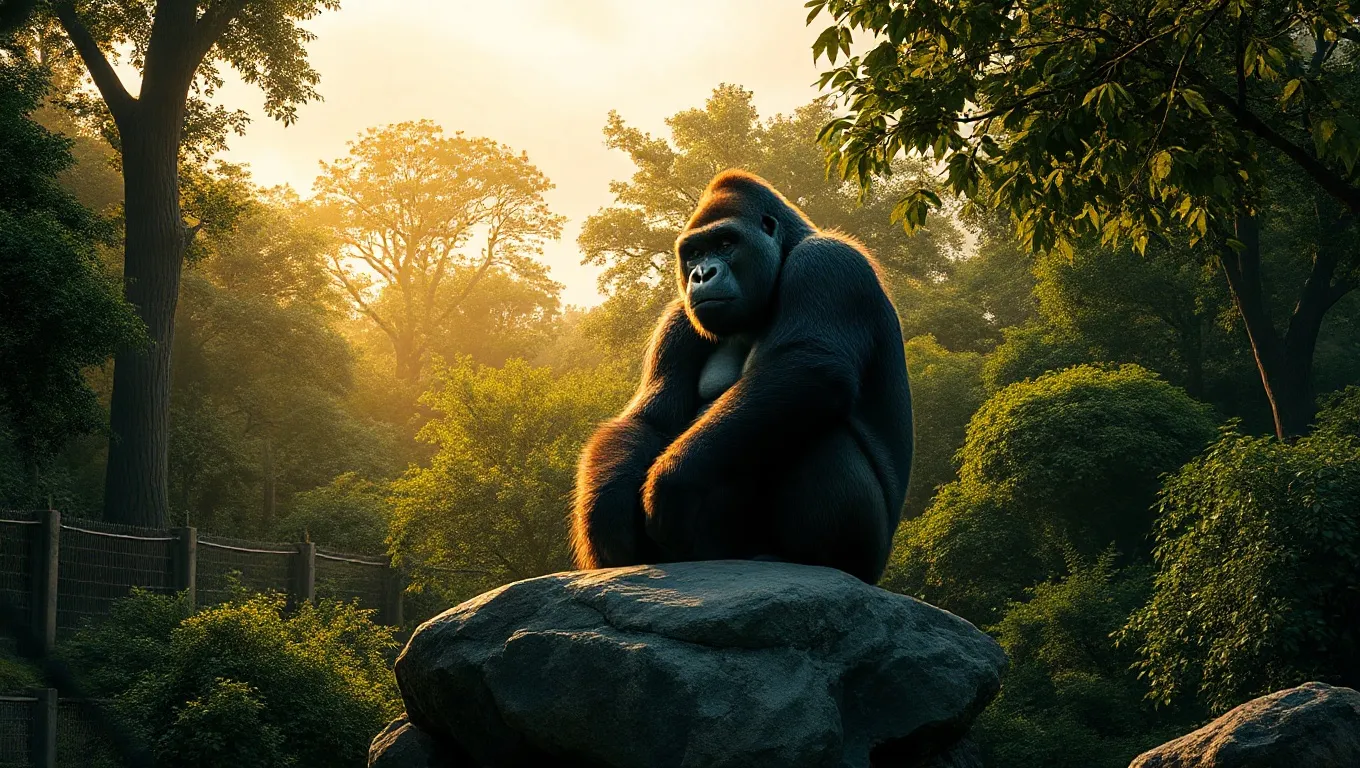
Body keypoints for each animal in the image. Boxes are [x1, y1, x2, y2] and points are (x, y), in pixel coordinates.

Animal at [570, 169, 913, 583]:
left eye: (725, 243)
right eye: (694, 253)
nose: (702, 274)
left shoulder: (829, 262)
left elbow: (810, 367)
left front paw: (671, 482)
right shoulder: (677, 318)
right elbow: (648, 419)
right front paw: (605, 515)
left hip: (872, 558)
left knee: (819, 426)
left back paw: (814, 560)